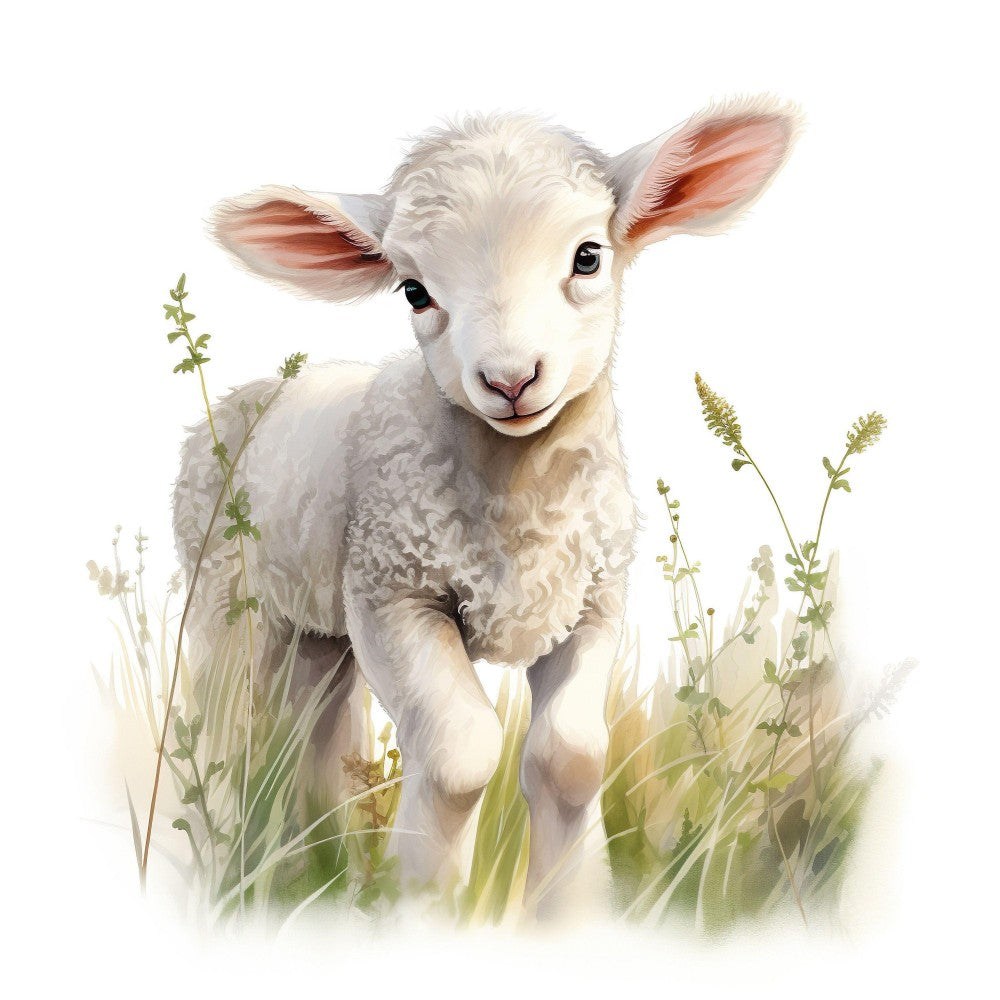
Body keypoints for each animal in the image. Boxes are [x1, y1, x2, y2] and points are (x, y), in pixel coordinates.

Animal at [172, 97, 800, 916]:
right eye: (414, 290)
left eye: (589, 256)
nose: (509, 379)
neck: (520, 504)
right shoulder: (392, 594)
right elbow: (459, 757)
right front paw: (421, 906)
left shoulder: (594, 599)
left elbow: (571, 758)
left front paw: (570, 910)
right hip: (227, 604)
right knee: (229, 725)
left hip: (319, 632)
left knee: (315, 732)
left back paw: (317, 863)